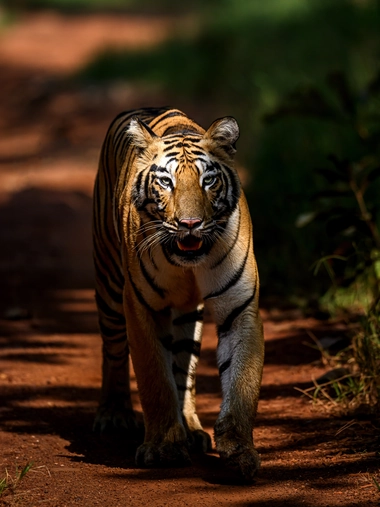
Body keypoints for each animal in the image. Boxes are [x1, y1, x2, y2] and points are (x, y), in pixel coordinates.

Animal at [92, 108, 264, 484]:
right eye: (166, 182)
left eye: (208, 181)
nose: (189, 224)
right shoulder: (140, 307)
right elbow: (155, 378)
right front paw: (163, 449)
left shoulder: (239, 307)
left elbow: (241, 382)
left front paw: (239, 451)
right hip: (109, 285)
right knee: (113, 352)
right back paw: (114, 414)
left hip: (188, 317)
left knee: (184, 369)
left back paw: (191, 428)